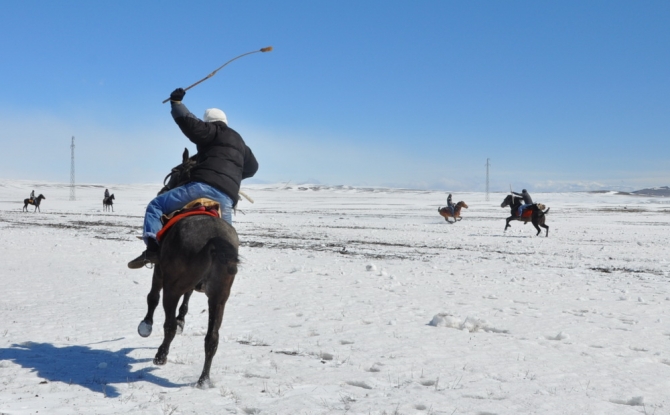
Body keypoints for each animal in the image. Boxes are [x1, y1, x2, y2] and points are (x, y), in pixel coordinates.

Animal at [138, 214, 240, 390]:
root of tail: (215, 239)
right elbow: (187, 297)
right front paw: (181, 319)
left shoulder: (159, 271)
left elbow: (153, 297)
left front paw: (146, 325)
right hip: (219, 297)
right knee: (212, 338)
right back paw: (204, 380)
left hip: (172, 288)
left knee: (169, 325)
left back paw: (161, 356)